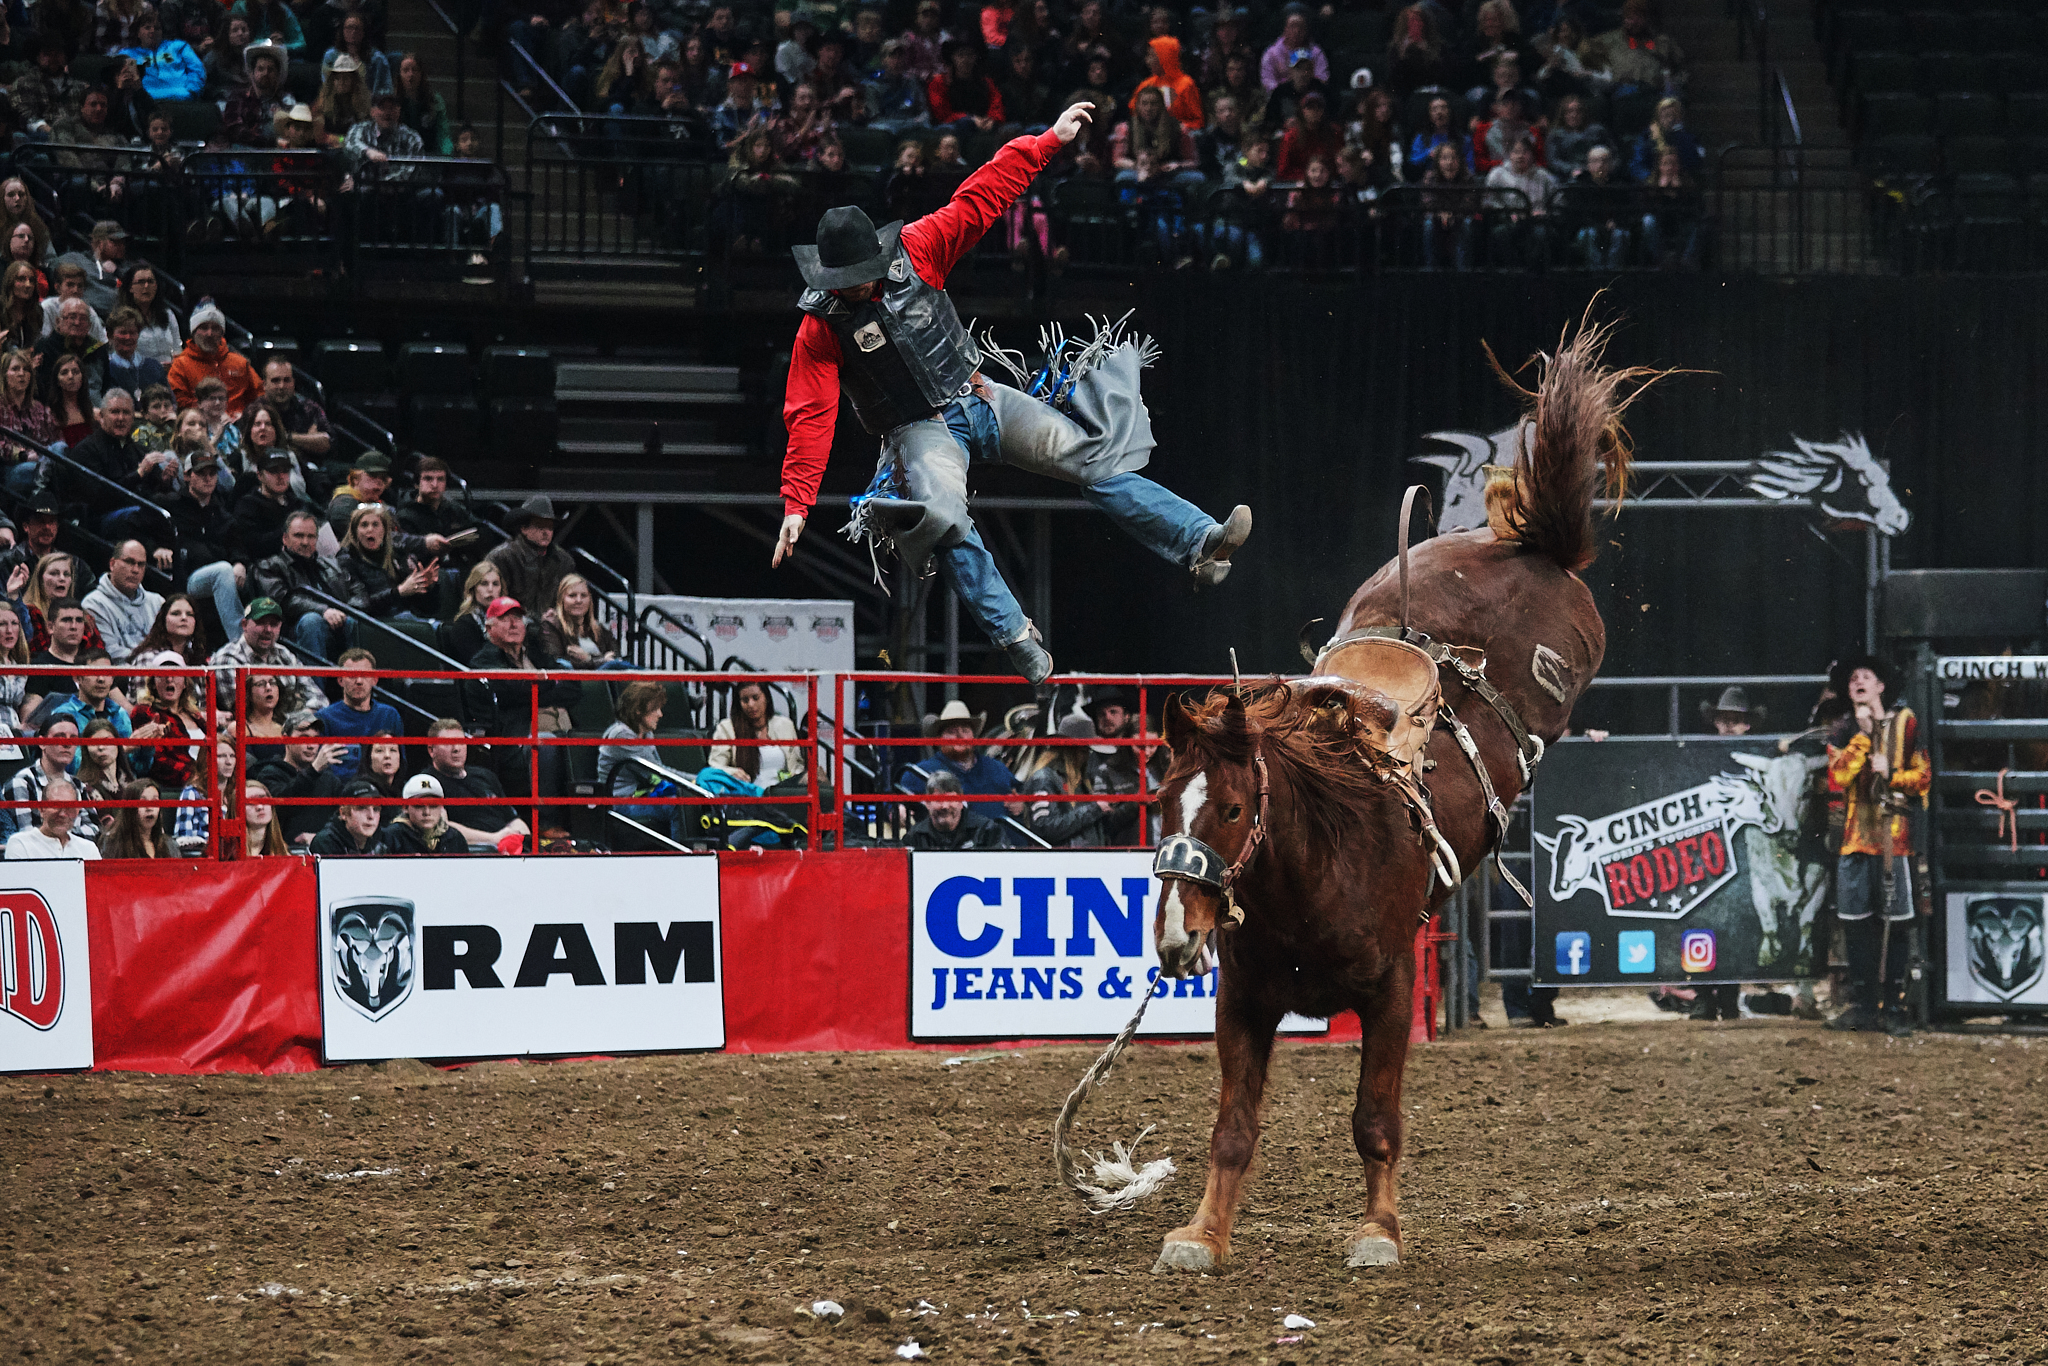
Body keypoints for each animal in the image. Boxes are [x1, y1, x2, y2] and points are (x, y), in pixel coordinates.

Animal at [1064, 315, 1654, 1277]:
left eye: (1233, 809)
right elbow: (1234, 1127)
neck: (1316, 869)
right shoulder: (1243, 999)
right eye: (1160, 806)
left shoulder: (1390, 990)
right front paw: (1202, 1235)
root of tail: (1522, 547)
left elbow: (1375, 1119)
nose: (1175, 935)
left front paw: (1378, 1232)